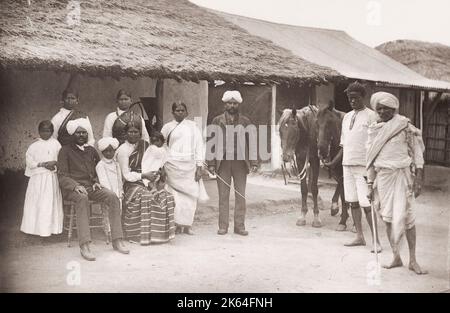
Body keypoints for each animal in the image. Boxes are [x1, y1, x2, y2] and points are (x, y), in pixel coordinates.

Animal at [314, 101, 350, 230]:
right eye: (316, 123)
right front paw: (343, 220)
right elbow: (344, 196)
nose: (322, 150)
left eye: (329, 122)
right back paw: (335, 207)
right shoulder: (339, 172)